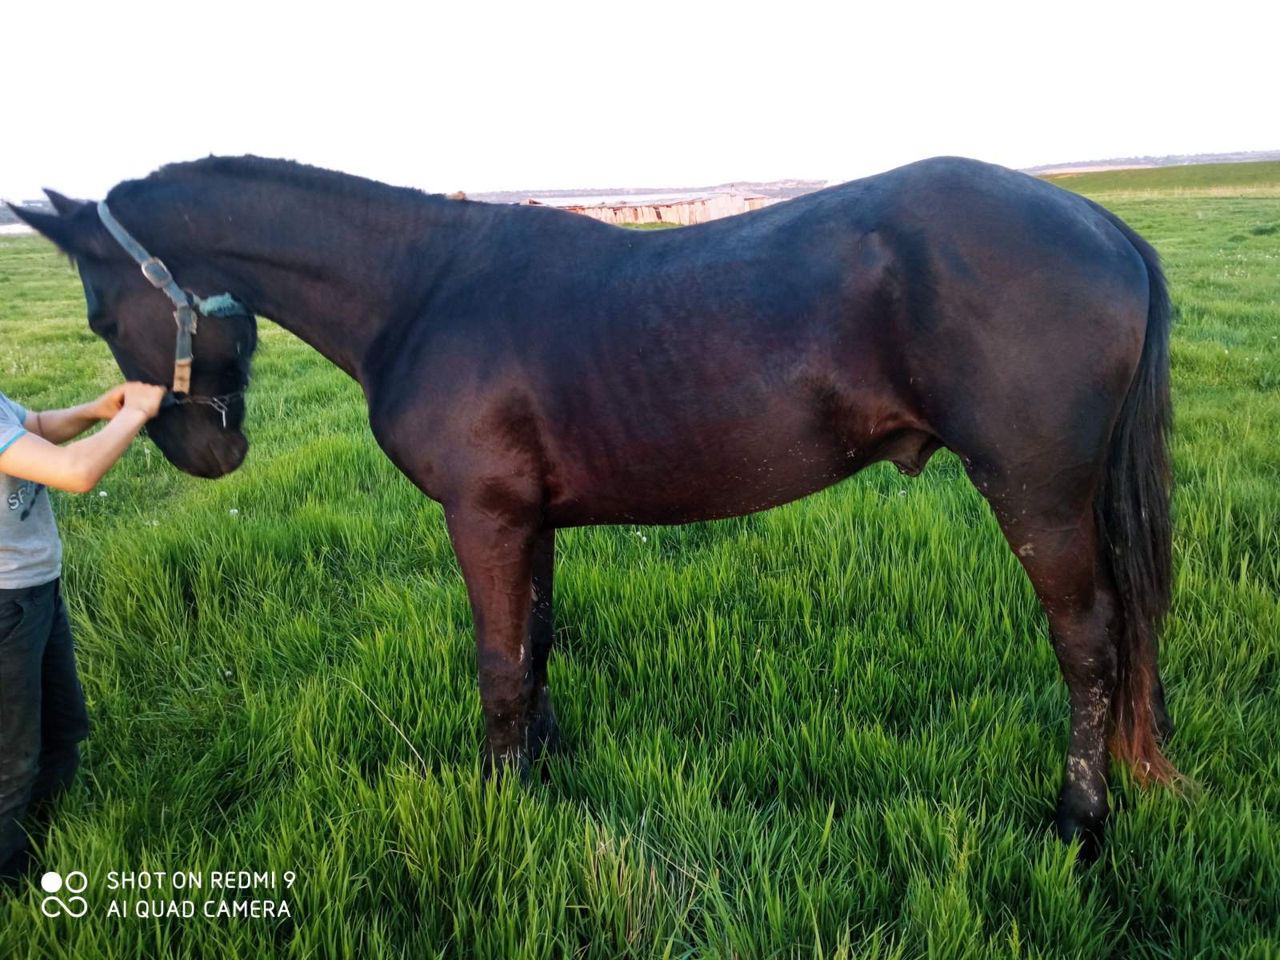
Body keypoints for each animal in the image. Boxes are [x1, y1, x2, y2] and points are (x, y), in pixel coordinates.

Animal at [10, 154, 1172, 860]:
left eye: (99, 311)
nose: (204, 452)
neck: (424, 291)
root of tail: (1098, 222)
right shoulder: (528, 522)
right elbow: (534, 649)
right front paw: (542, 772)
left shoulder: (482, 517)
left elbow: (497, 663)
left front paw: (498, 802)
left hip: (1035, 493)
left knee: (1088, 641)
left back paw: (1078, 820)